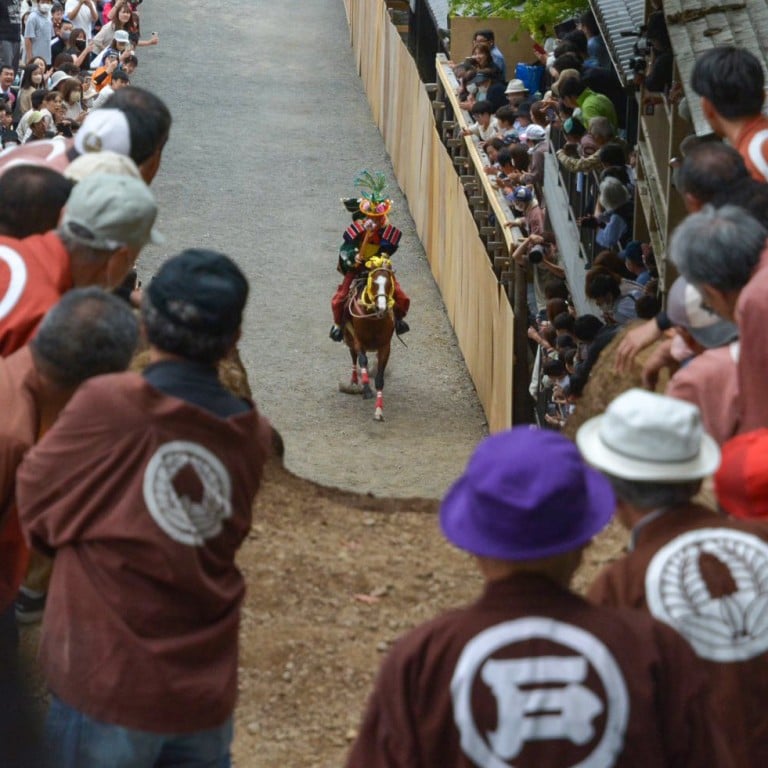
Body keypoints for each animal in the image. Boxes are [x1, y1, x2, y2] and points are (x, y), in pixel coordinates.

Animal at [344, 256, 400, 420]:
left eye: (389, 283)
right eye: (374, 283)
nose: (382, 307)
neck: (373, 318)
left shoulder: (385, 346)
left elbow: (380, 379)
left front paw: (379, 411)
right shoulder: (358, 341)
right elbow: (362, 361)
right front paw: (366, 390)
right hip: (349, 338)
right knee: (354, 358)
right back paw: (354, 382)